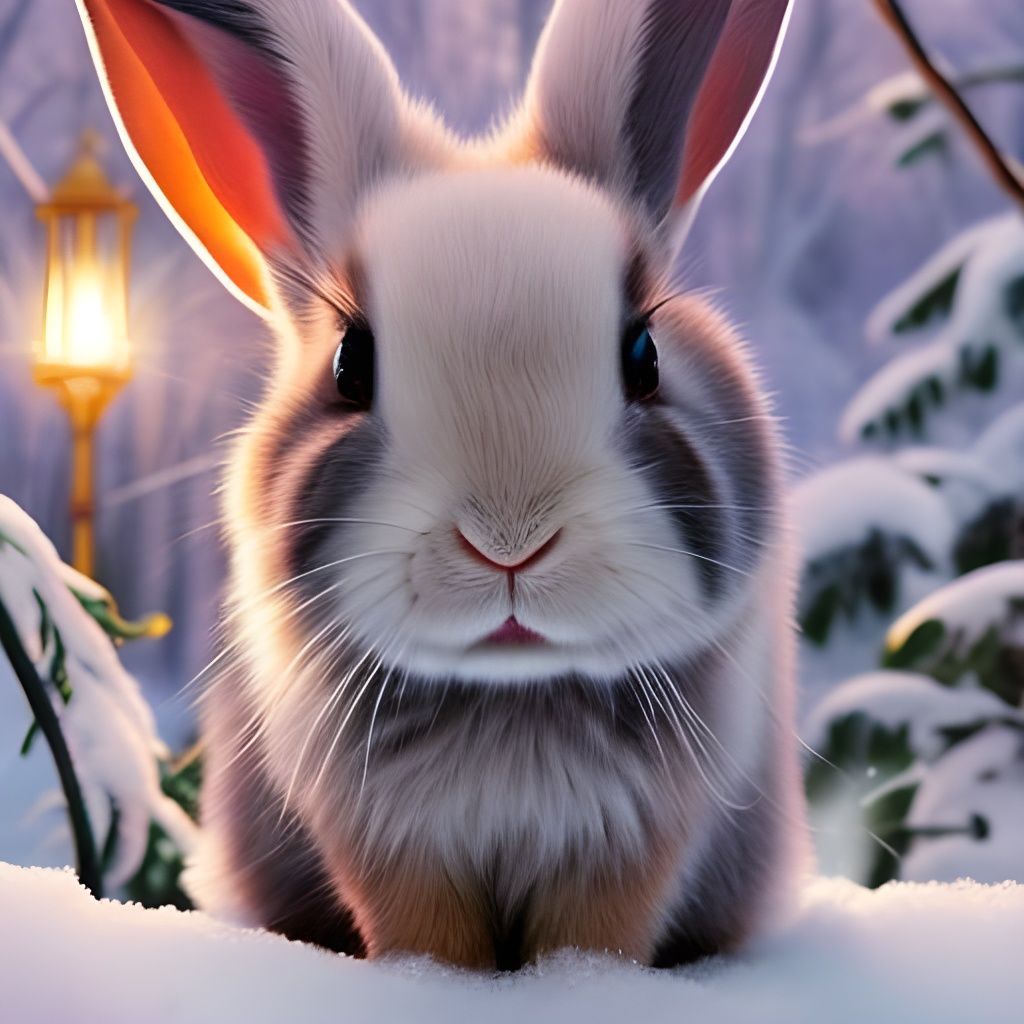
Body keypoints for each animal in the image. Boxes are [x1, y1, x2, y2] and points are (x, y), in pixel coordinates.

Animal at [79, 0, 807, 968]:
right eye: (351, 364)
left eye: (645, 355)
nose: (509, 542)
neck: (509, 697)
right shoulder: (389, 846)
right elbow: (426, 936)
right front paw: (433, 983)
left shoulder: (633, 846)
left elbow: (596, 940)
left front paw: (581, 986)